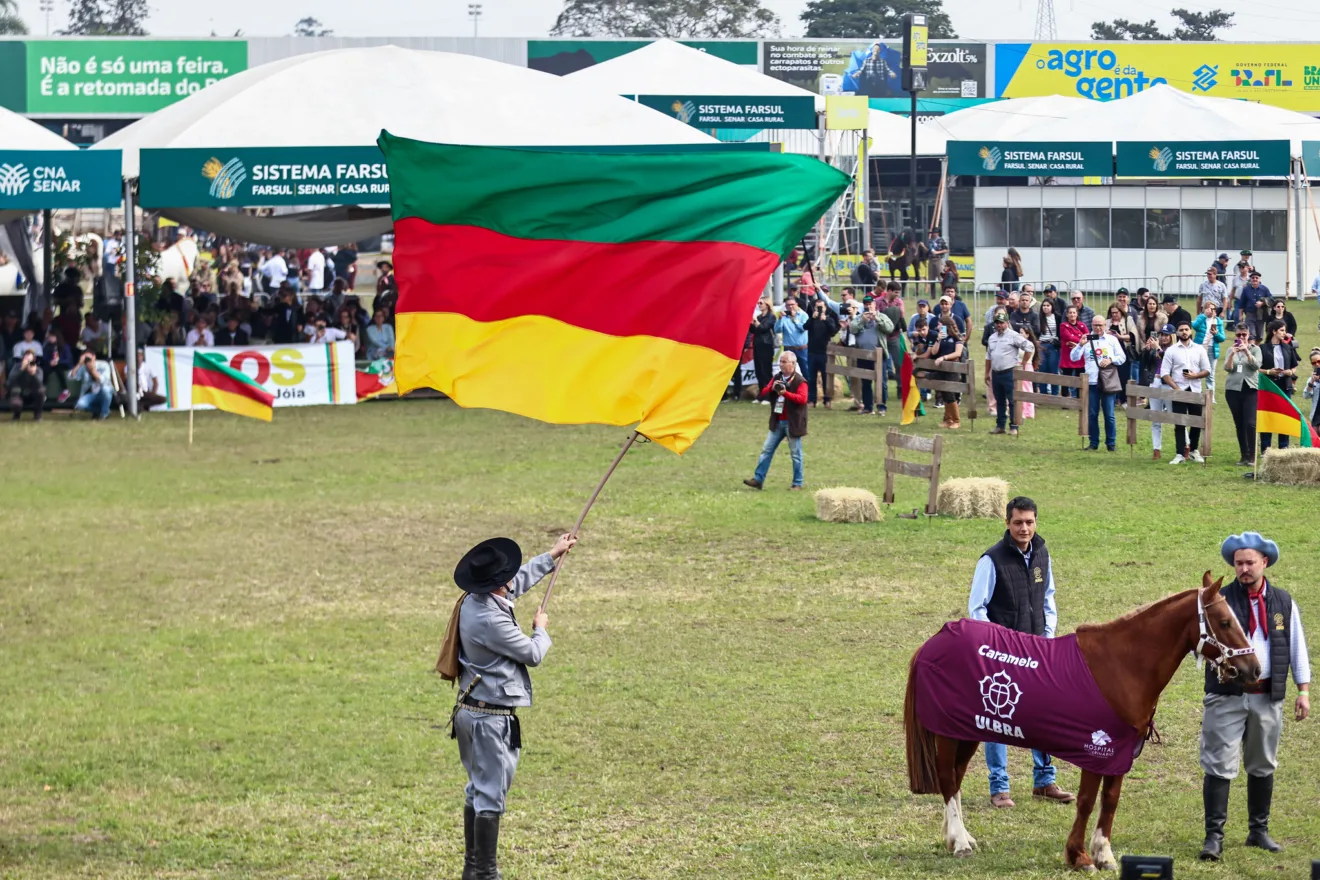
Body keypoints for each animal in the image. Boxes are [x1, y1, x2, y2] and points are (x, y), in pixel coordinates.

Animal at [908, 575, 1256, 870]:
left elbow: (1110, 801)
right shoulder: (1095, 749)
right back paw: (960, 844)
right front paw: (1079, 856)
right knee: (947, 780)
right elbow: (1088, 802)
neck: (1123, 666)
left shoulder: (1120, 752)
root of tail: (936, 639)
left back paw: (957, 837)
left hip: (967, 732)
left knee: (955, 779)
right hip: (948, 733)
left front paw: (1104, 854)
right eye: (1225, 622)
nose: (1253, 668)